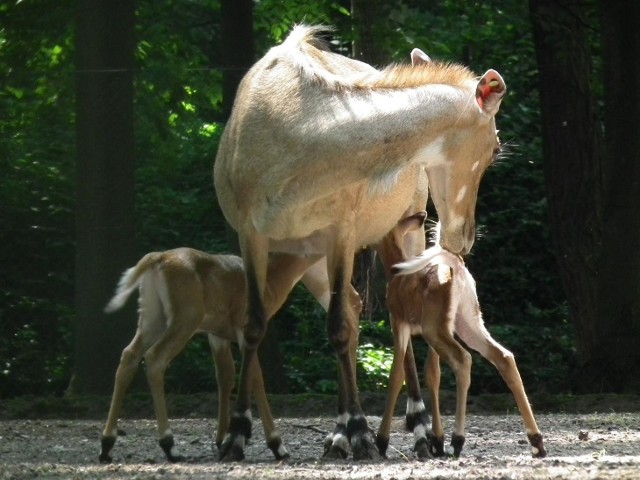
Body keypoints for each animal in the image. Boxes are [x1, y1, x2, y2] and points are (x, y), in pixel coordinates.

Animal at [214, 24, 504, 460]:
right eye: (494, 147)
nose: (463, 237)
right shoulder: (253, 235)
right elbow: (254, 325)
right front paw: (235, 435)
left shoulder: (342, 231)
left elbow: (337, 328)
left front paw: (363, 435)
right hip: (311, 257)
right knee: (353, 306)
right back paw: (339, 435)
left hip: (395, 235)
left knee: (393, 315)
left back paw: (418, 432)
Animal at [378, 212, 548, 460]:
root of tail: (455, 267)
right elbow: (432, 374)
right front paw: (436, 440)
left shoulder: (399, 322)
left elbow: (396, 374)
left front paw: (382, 441)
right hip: (467, 321)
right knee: (504, 356)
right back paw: (536, 442)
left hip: (435, 328)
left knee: (463, 359)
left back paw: (457, 441)